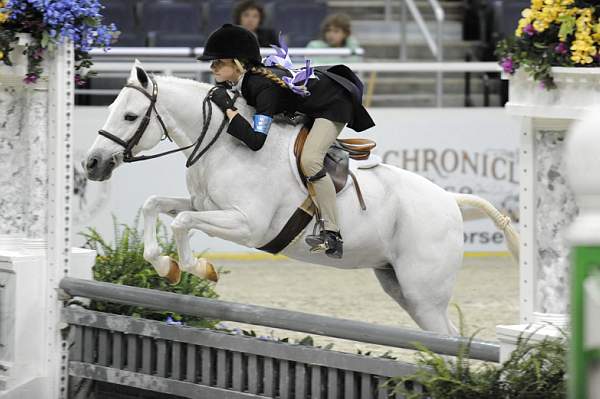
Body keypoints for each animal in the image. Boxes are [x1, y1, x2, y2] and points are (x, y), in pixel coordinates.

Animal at [84, 62, 520, 336]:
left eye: (129, 116)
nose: (92, 163)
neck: (225, 140)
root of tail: (450, 201)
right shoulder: (208, 207)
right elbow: (155, 205)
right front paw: (165, 266)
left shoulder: (247, 224)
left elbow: (180, 222)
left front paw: (199, 269)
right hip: (401, 287)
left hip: (424, 293)